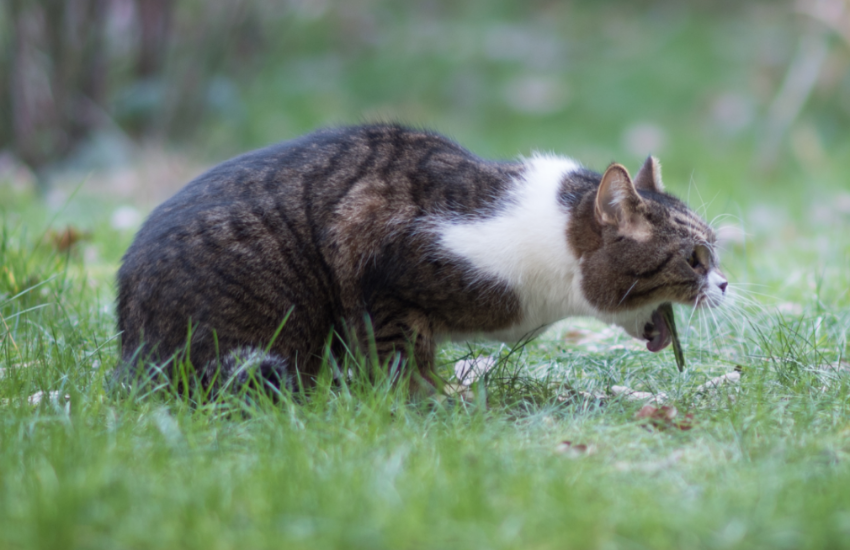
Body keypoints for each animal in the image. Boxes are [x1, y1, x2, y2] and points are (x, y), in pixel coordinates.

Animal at [116, 123, 724, 394]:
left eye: (714, 250)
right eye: (695, 258)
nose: (723, 283)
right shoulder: (379, 263)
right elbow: (403, 355)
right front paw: (426, 406)